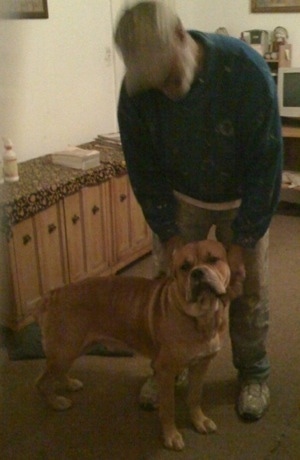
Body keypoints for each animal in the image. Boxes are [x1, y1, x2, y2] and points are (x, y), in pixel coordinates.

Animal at [35, 239, 238, 452]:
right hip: (64, 351)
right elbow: (168, 407)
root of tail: (53, 294)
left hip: (73, 349)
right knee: (42, 382)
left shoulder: (201, 365)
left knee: (56, 373)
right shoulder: (166, 371)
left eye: (213, 259)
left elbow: (195, 396)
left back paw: (69, 384)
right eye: (184, 267)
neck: (202, 317)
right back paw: (56, 402)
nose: (197, 272)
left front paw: (199, 420)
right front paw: (171, 435)